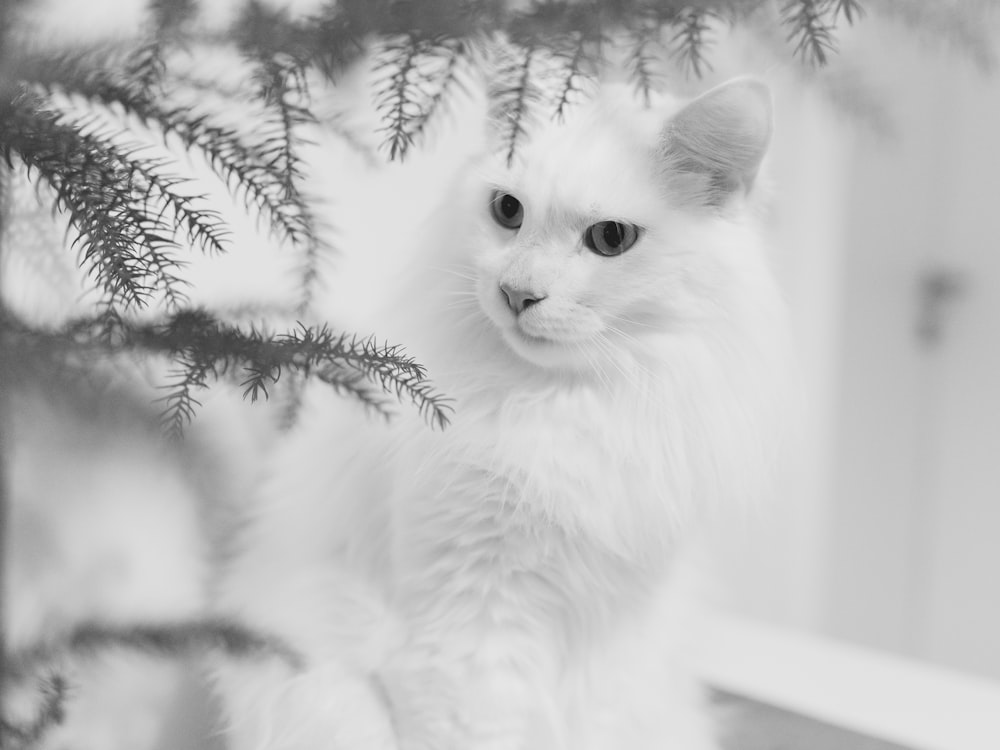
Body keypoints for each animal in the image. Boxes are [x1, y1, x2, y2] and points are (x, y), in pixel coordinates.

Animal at [217, 76, 788, 750]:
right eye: (508, 211)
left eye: (611, 239)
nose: (518, 294)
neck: (564, 402)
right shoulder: (474, 627)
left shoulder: (617, 641)